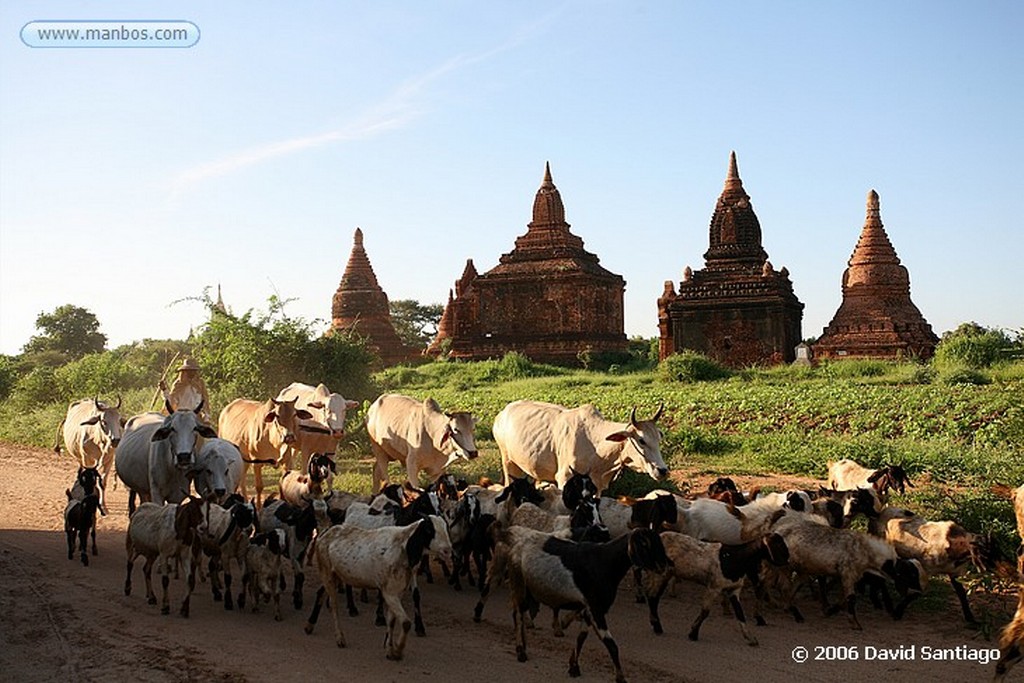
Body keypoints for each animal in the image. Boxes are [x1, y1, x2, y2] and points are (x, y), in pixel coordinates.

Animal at [491, 397, 667, 493]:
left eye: (659, 438)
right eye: (641, 440)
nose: (662, 470)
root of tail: (502, 413)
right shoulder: (564, 479)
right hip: (508, 462)